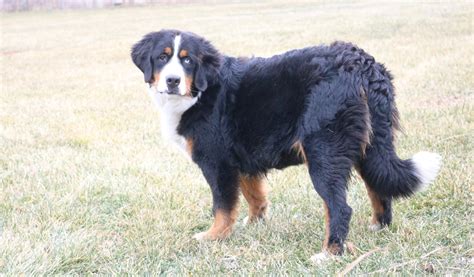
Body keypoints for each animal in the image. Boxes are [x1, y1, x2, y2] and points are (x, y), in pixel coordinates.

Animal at [129, 30, 440, 260]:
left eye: (188, 61)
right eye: (162, 57)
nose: (172, 81)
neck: (200, 92)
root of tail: (361, 63)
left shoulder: (217, 163)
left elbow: (223, 206)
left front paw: (213, 236)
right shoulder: (242, 159)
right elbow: (254, 195)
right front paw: (255, 223)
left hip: (324, 151)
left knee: (339, 207)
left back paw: (329, 253)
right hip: (368, 146)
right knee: (379, 187)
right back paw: (378, 227)